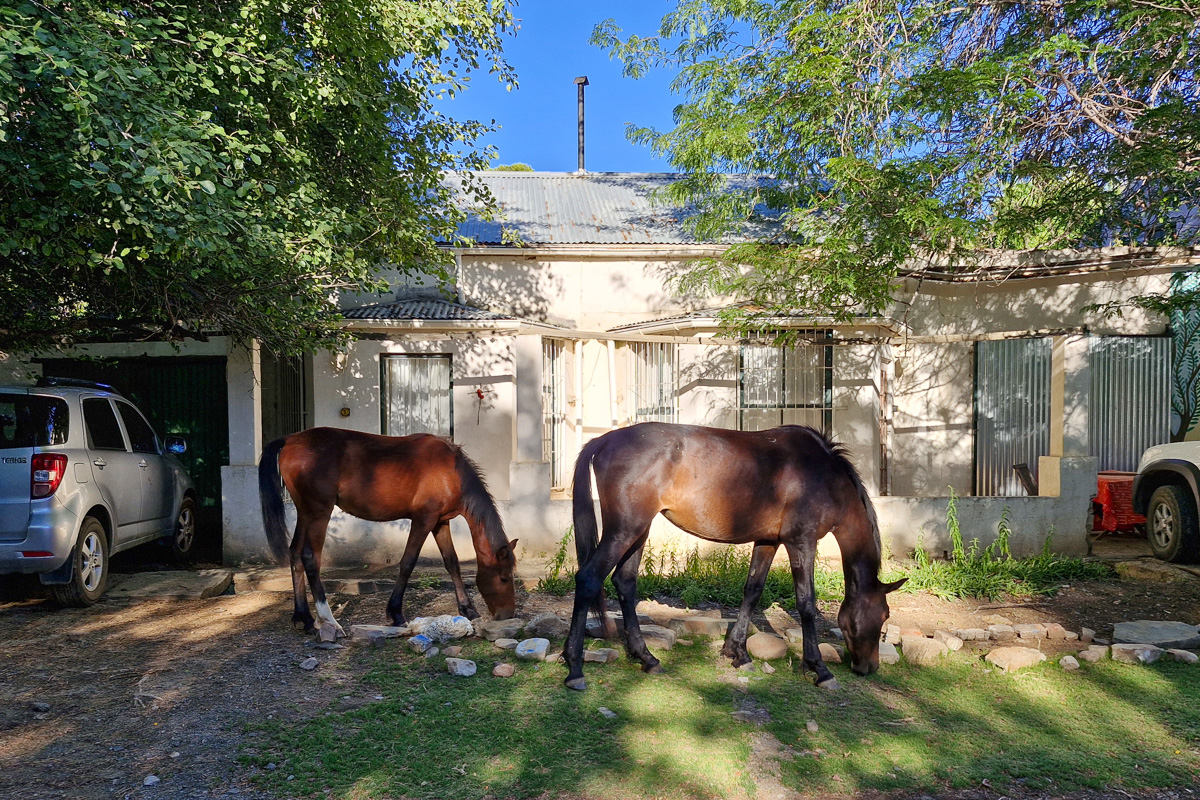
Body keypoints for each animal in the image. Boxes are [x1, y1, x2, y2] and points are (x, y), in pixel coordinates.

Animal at [258, 427, 518, 636]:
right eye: (504, 578)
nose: (508, 615)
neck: (451, 471)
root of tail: (290, 439)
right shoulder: (423, 520)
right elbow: (407, 562)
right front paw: (396, 613)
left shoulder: (440, 523)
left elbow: (452, 563)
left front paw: (468, 609)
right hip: (319, 512)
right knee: (310, 558)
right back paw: (328, 620)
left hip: (305, 513)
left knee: (295, 554)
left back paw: (304, 617)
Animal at [563, 422, 905, 691]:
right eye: (883, 618)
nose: (869, 668)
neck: (822, 474)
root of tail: (603, 441)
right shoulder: (801, 542)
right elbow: (806, 603)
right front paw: (819, 668)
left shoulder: (768, 541)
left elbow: (752, 591)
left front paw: (738, 653)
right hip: (624, 530)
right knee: (589, 578)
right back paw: (575, 668)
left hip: (639, 531)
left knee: (625, 582)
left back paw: (647, 658)